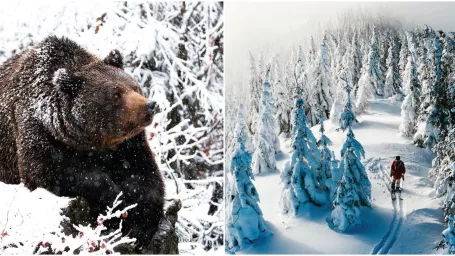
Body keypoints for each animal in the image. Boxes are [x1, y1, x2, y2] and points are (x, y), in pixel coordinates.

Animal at [0, 36, 174, 254]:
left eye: (134, 86)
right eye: (115, 93)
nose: (149, 105)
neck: (90, 141)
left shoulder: (128, 144)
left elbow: (144, 173)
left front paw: (140, 227)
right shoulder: (37, 130)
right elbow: (48, 170)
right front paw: (114, 200)